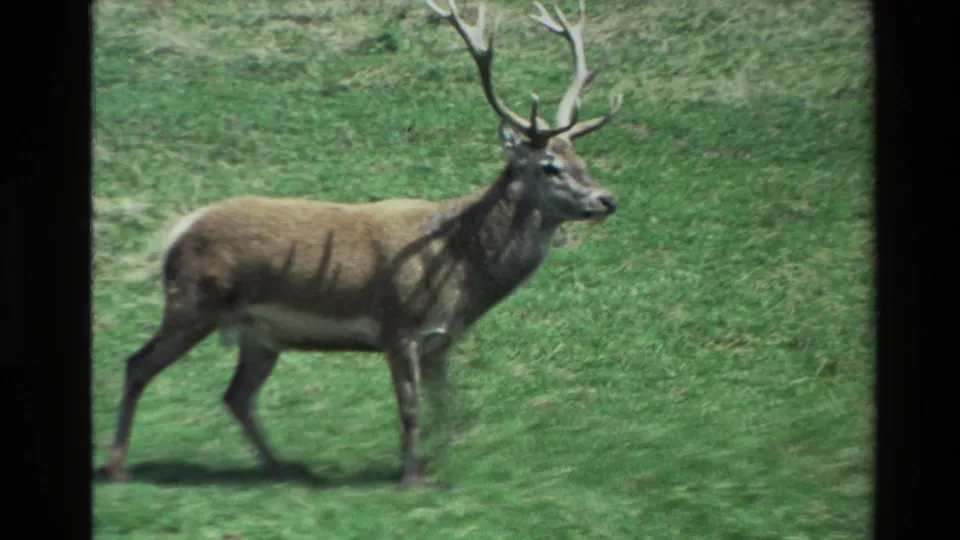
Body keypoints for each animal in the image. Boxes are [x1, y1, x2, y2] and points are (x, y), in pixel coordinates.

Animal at [100, 0, 624, 487]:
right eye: (549, 167)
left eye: (581, 159)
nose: (607, 199)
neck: (460, 269)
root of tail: (178, 231)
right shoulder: (399, 327)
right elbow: (411, 409)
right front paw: (410, 478)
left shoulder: (441, 341)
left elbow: (448, 407)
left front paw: (442, 464)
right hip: (191, 303)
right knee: (137, 365)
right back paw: (118, 466)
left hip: (258, 332)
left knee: (236, 394)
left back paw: (281, 466)